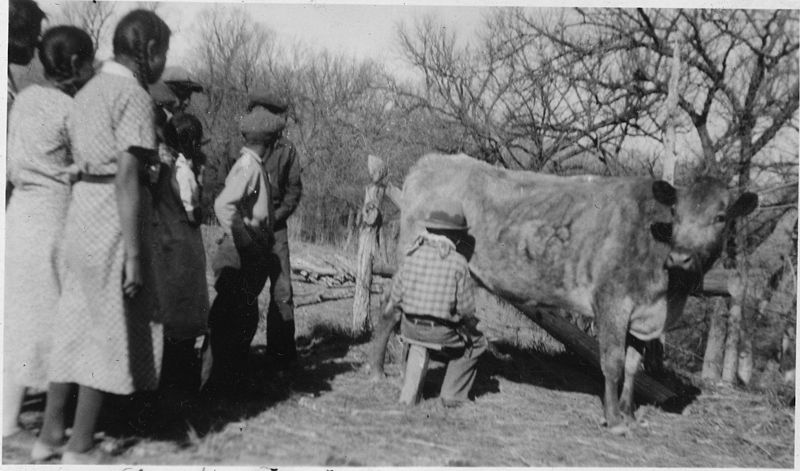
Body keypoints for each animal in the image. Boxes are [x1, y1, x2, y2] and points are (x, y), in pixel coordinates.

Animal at [368, 154, 756, 436]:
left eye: (721, 216)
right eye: (675, 213)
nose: (680, 257)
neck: (667, 294)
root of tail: (431, 161)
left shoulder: (643, 316)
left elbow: (633, 366)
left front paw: (629, 413)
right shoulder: (612, 302)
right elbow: (613, 363)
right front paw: (614, 419)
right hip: (406, 254)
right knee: (389, 310)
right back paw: (376, 370)